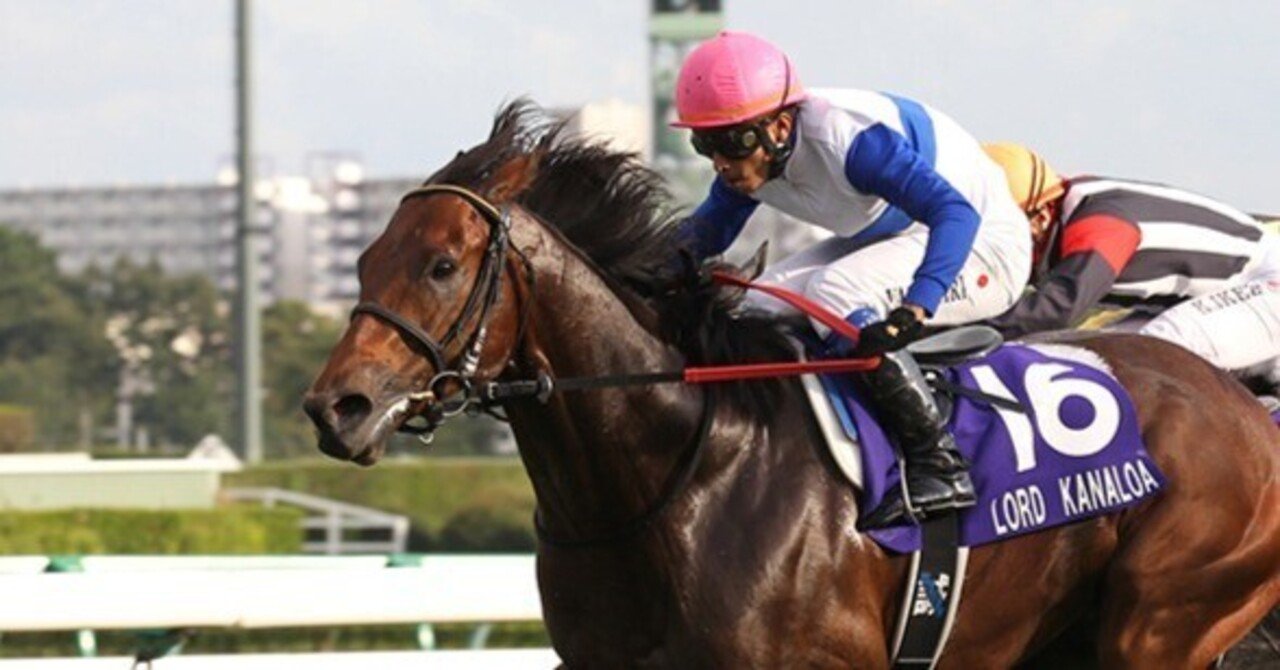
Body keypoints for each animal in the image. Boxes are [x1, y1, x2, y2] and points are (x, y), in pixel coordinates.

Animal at [304, 102, 1280, 668]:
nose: (335, 407)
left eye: (440, 265)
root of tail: (1242, 408)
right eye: (363, 259)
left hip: (1163, 620)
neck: (674, 473)